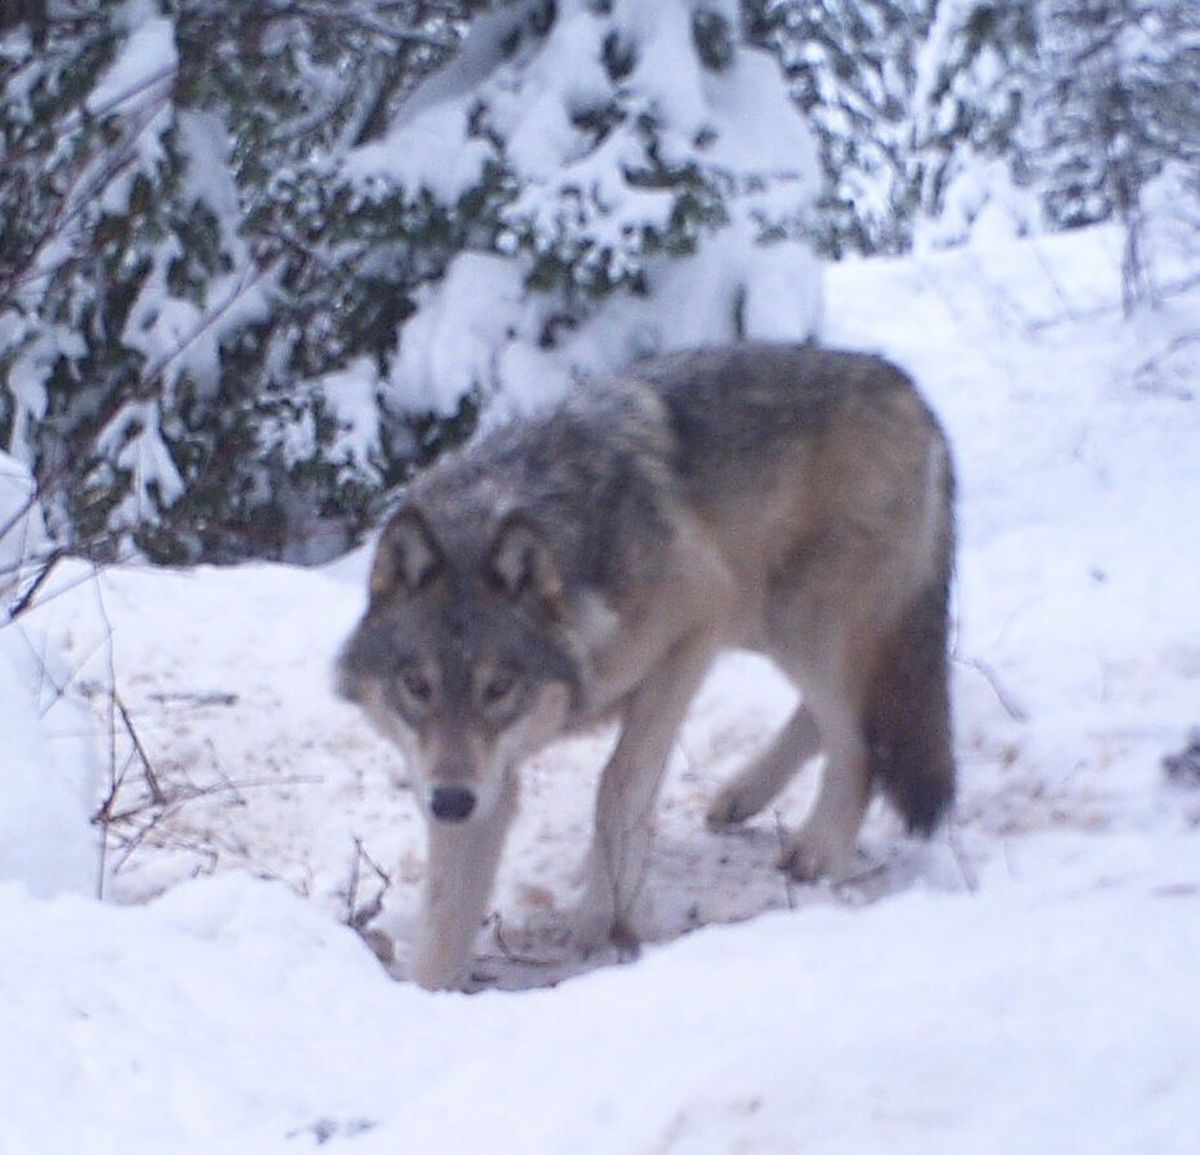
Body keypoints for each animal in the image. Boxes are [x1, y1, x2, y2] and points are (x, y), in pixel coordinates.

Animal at [338, 340, 955, 989]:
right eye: (417, 685)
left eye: (499, 687)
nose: (450, 802)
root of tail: (904, 383)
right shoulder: (481, 780)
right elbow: (445, 926)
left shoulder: (695, 626)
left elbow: (621, 784)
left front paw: (608, 917)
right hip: (767, 623)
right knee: (833, 716)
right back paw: (742, 794)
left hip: (796, 618)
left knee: (859, 741)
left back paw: (817, 849)